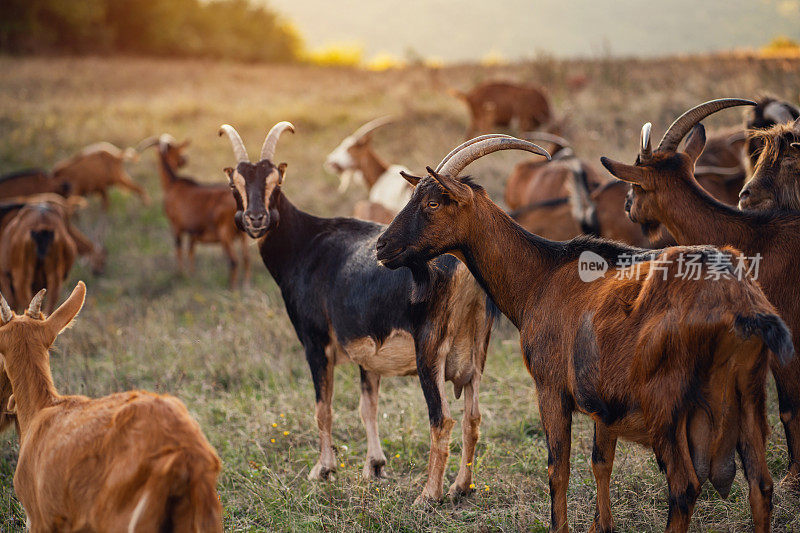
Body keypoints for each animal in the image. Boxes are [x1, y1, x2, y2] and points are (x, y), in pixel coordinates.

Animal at [139, 135, 248, 286]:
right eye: (177, 151)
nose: (184, 159)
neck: (172, 184)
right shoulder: (193, 232)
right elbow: (191, 252)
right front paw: (192, 275)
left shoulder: (176, 226)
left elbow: (178, 249)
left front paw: (181, 274)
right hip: (243, 236)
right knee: (246, 259)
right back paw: (246, 285)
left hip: (224, 233)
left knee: (234, 261)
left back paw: (232, 287)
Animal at [216, 123, 520, 498]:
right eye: (235, 184)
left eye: (276, 181)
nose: (256, 219)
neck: (306, 243)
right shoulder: (367, 350)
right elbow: (368, 407)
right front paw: (374, 466)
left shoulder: (315, 341)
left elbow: (323, 408)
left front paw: (323, 469)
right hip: (477, 349)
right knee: (472, 417)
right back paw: (460, 487)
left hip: (429, 350)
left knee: (442, 418)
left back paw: (428, 496)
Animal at [378, 135, 792, 528]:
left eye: (434, 203)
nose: (382, 247)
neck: (540, 276)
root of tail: (738, 300)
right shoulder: (603, 403)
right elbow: (600, 463)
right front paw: (601, 525)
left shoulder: (550, 389)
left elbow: (557, 470)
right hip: (748, 395)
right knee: (761, 485)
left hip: (670, 406)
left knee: (684, 487)